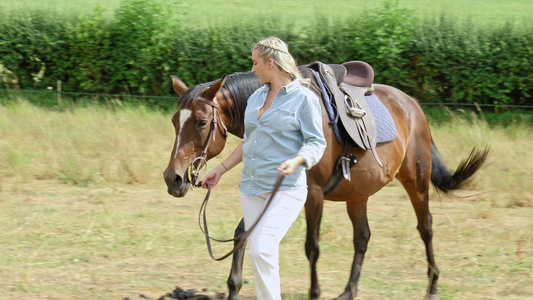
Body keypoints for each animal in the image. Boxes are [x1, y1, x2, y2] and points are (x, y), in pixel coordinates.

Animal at [164, 68, 488, 300]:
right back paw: (348, 292)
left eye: (202, 122)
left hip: (416, 181)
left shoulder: (313, 195)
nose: (173, 178)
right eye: (174, 122)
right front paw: (233, 287)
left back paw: (433, 286)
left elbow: (312, 247)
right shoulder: (267, 192)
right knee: (362, 237)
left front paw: (314, 292)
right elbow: (242, 234)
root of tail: (413, 105)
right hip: (358, 193)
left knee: (426, 227)